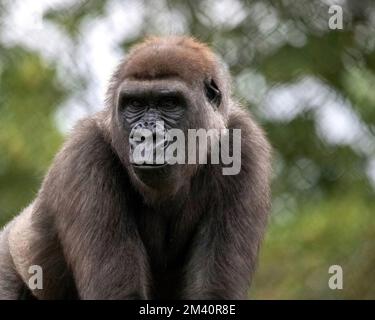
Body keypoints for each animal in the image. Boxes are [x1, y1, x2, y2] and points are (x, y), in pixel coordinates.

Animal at [0, 37, 270, 300]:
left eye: (168, 103)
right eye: (136, 103)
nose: (146, 135)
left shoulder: (245, 145)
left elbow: (213, 292)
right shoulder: (85, 152)